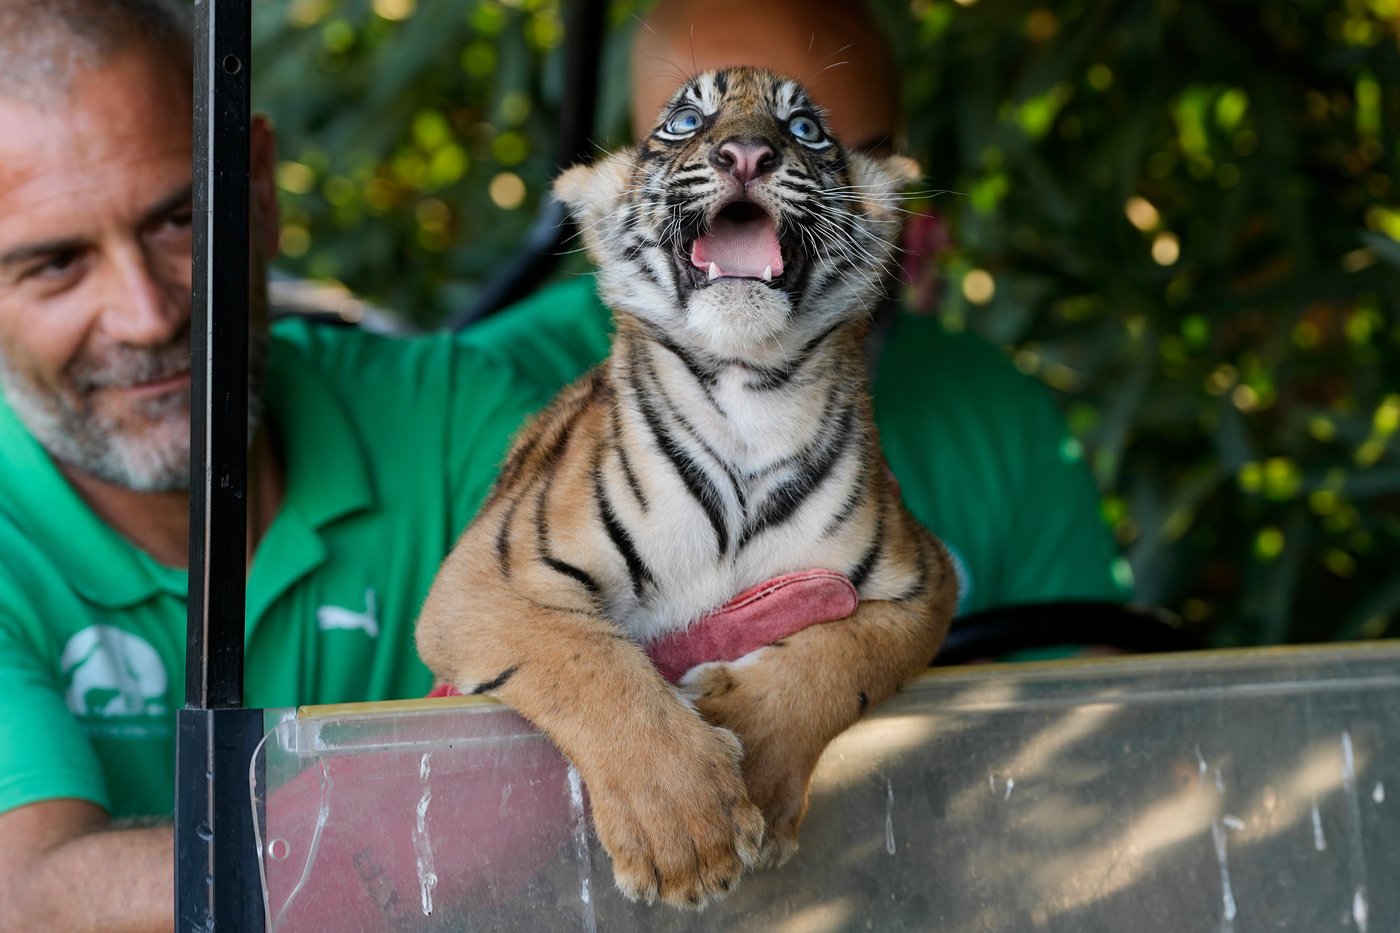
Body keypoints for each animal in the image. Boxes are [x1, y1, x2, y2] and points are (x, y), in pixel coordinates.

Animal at [415, 66, 956, 909]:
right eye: (683, 123)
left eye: (804, 129)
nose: (746, 153)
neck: (749, 398)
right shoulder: (482, 580)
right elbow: (587, 661)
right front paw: (684, 830)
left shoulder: (920, 581)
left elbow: (847, 657)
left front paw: (756, 755)